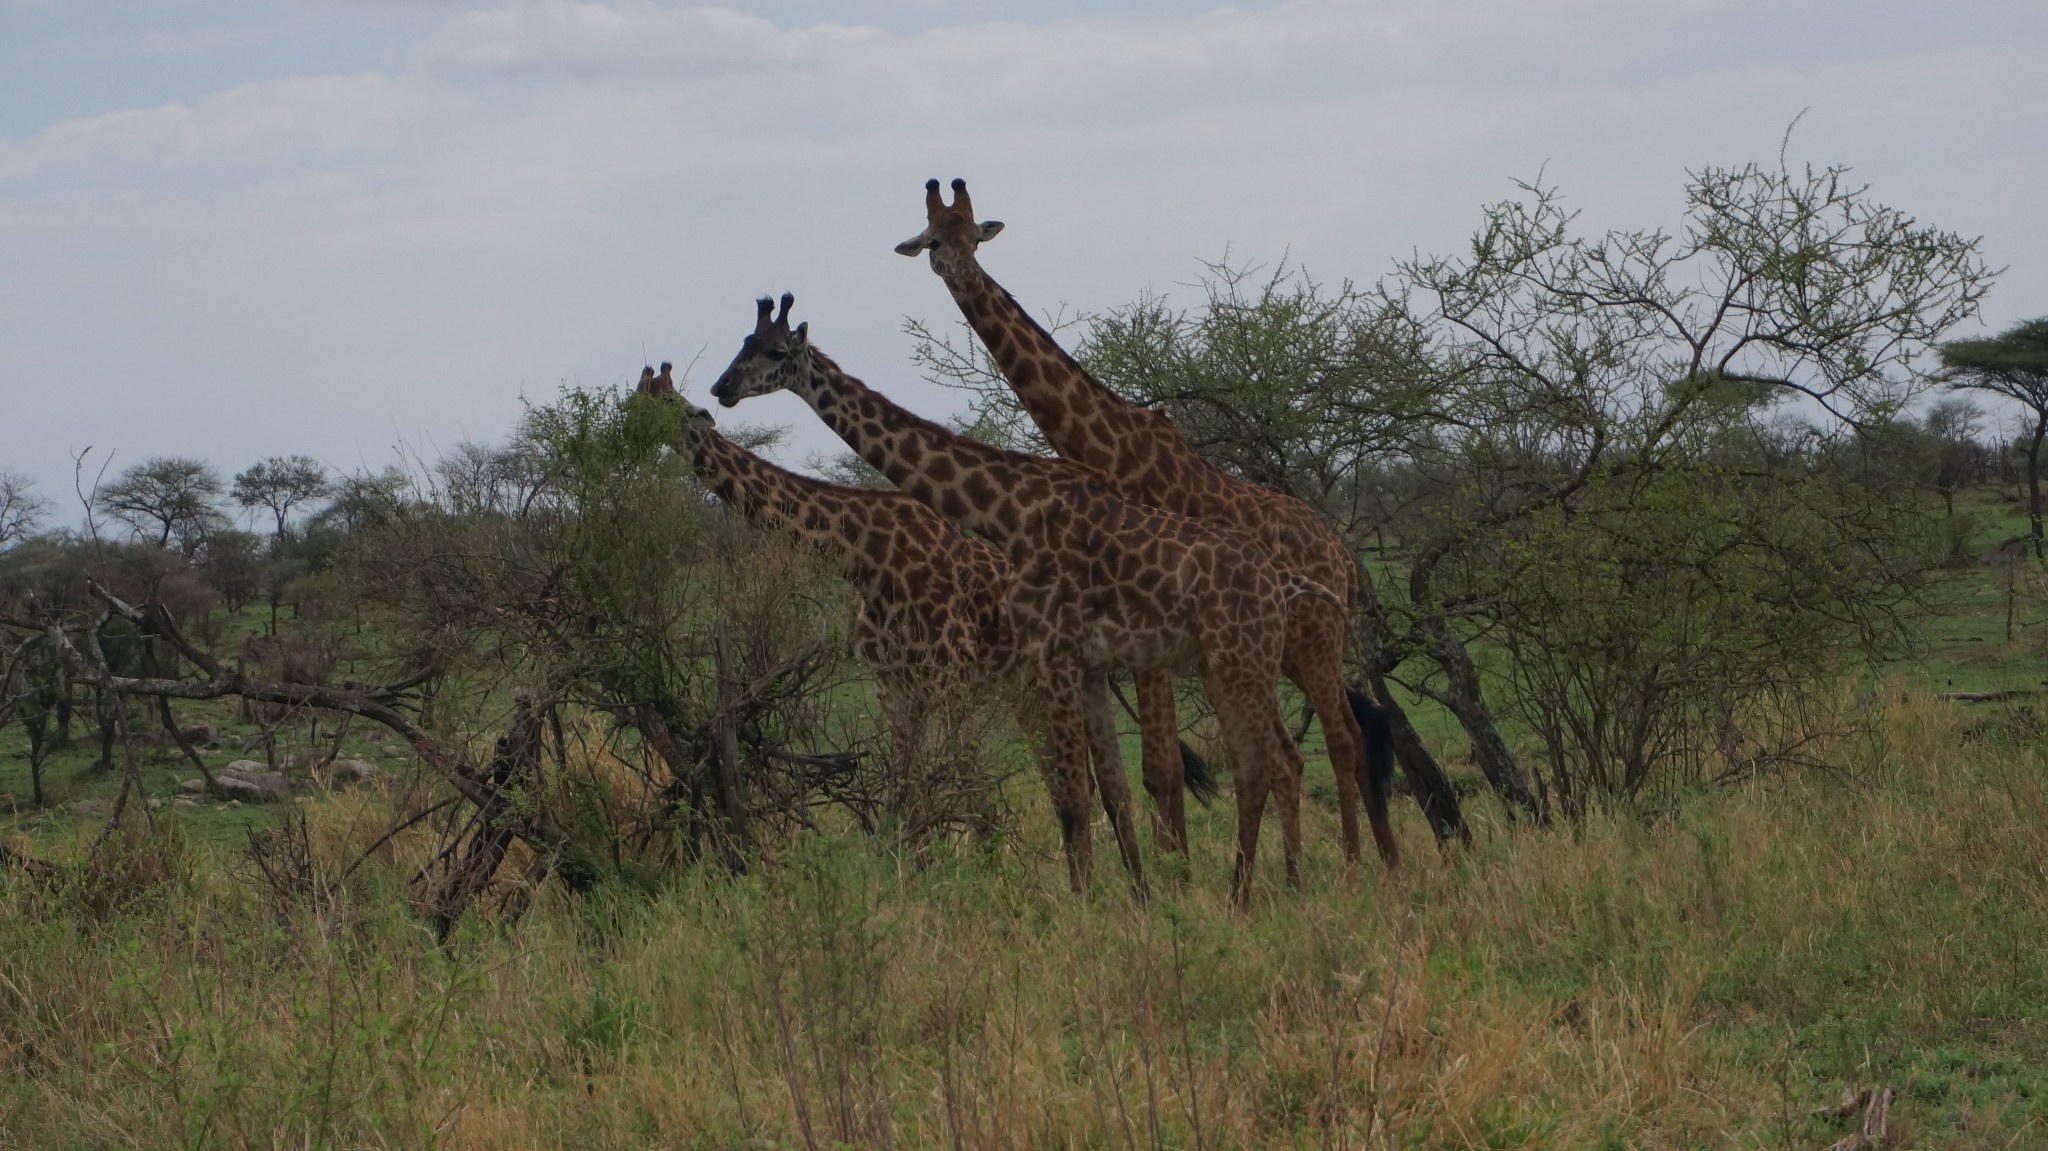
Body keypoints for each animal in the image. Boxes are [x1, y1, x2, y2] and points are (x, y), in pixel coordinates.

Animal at [622, 364, 1171, 876]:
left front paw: (988, 870)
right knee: (1059, 774)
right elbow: (905, 784)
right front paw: (914, 867)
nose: (627, 435)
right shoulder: (893, 683)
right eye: (633, 399)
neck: (865, 558)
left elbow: (967, 781)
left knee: (1082, 776)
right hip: (1024, 691)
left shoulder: (949, 680)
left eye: (665, 403)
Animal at [901, 177, 1409, 868]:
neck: (1106, 445)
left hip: (1314, 640)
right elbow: (1156, 768)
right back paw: (1377, 862)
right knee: (1350, 733)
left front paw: (1176, 874)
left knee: (1343, 736)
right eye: (932, 239)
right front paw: (1178, 869)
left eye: (975, 235)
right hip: (1286, 652)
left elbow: (1162, 767)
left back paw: (1366, 867)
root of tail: (1343, 558)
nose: (958, 271)